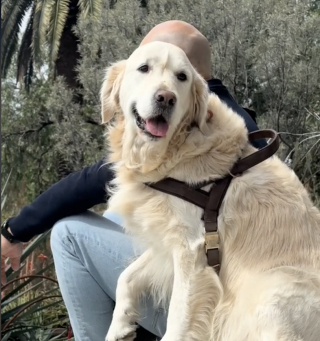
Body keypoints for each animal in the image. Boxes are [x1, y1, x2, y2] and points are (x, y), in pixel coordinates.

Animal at [101, 41, 320, 338]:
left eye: (182, 77)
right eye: (143, 68)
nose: (166, 98)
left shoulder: (192, 250)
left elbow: (177, 320)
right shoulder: (166, 241)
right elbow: (126, 276)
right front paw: (119, 326)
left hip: (272, 290)